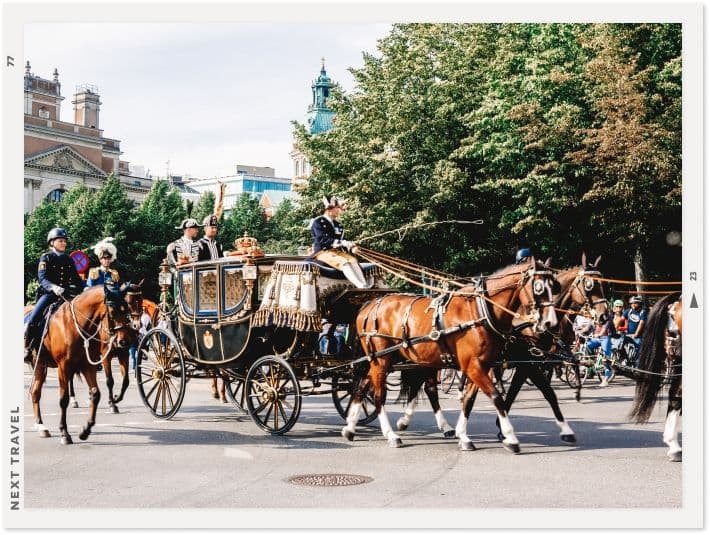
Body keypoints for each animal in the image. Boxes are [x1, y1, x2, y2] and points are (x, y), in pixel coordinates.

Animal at [29, 284, 138, 444]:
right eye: (113, 311)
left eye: (126, 310)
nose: (124, 341)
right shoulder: (64, 367)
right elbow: (63, 399)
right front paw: (64, 433)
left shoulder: (89, 365)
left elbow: (96, 393)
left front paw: (86, 429)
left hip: (40, 365)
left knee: (35, 392)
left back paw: (41, 426)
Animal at [346, 256, 560, 452]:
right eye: (538, 287)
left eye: (555, 286)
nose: (550, 323)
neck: (481, 310)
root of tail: (369, 305)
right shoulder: (474, 366)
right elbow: (496, 397)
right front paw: (511, 438)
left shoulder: (482, 366)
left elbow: (469, 401)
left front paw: (463, 436)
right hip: (382, 360)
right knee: (379, 395)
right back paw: (390, 434)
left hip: (387, 360)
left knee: (364, 386)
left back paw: (350, 427)